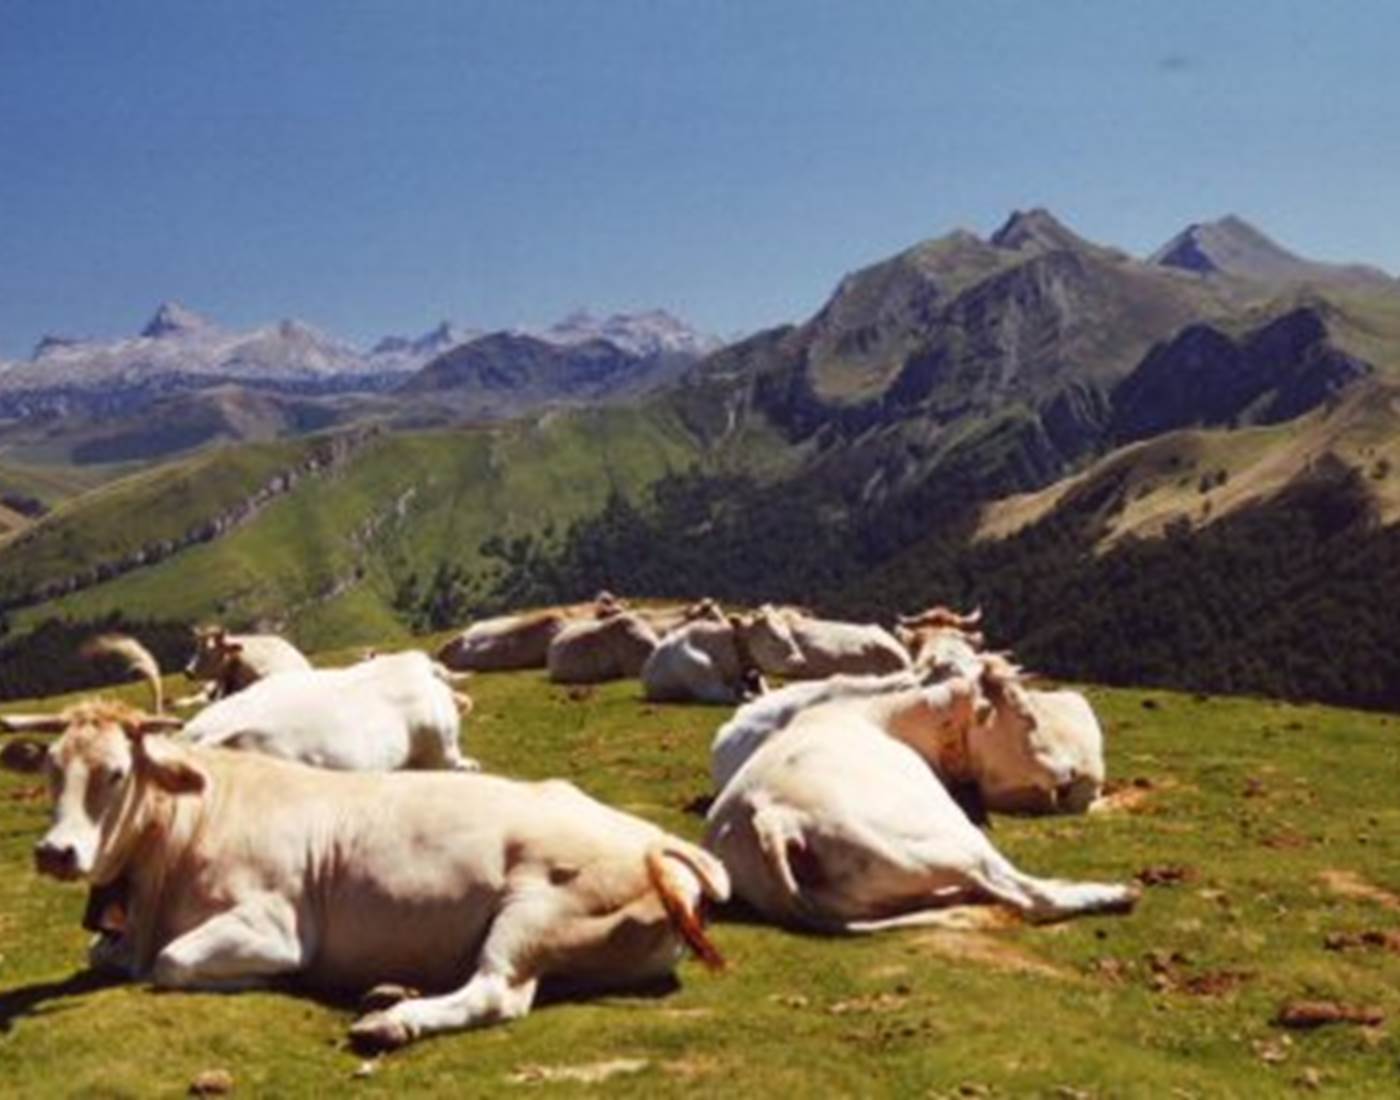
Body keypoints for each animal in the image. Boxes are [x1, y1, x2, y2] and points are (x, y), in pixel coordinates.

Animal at [1, 704, 730, 1051]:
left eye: (117, 773)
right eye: (50, 767)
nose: (55, 852)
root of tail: (661, 843)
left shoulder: (278, 924)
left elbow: (171, 963)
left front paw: (258, 980)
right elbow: (106, 951)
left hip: (534, 914)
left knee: (496, 994)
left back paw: (390, 1022)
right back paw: (389, 990)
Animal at [704, 676, 1138, 931]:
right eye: (1026, 716)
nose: (1071, 771)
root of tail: (772, 817)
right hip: (946, 841)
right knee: (1030, 896)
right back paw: (1114, 892)